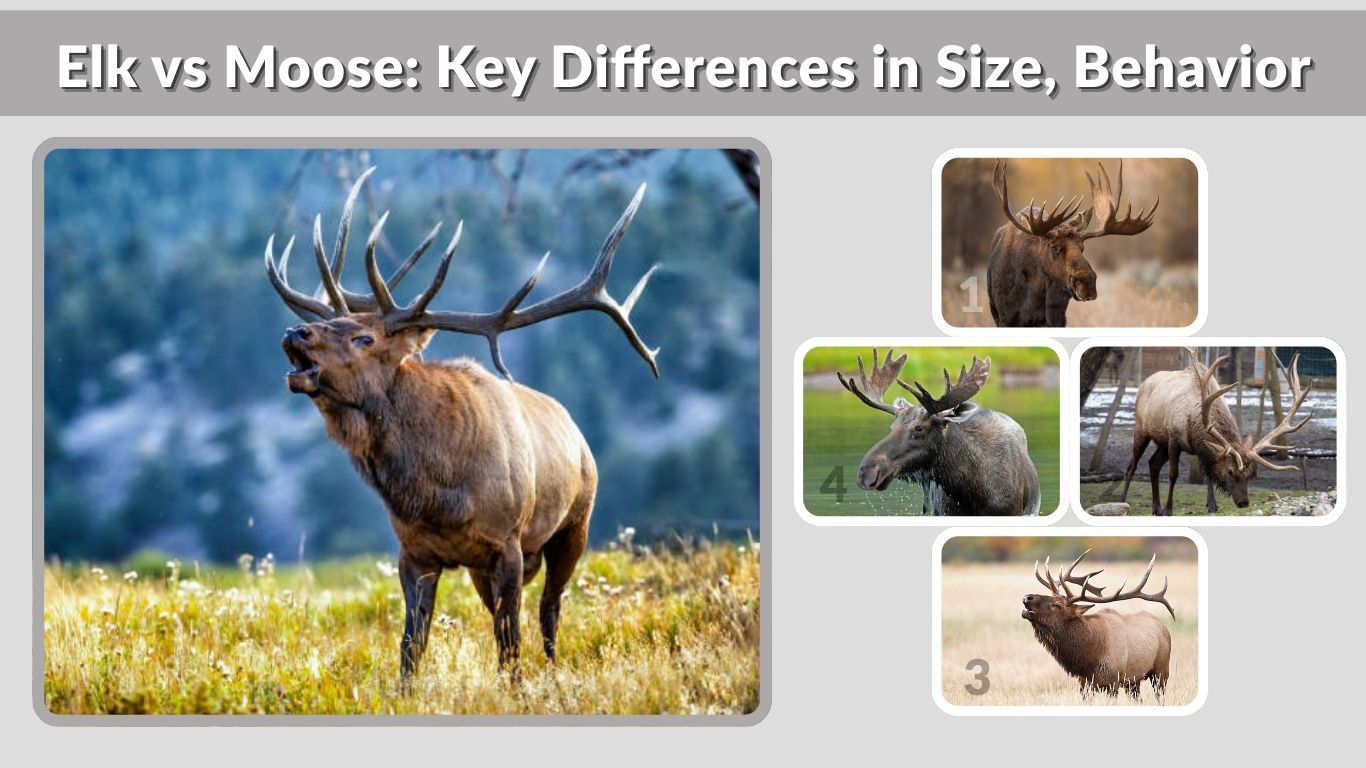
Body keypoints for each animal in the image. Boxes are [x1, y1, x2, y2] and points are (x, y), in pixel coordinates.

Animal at [263, 167, 659, 686]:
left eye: (364, 337)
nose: (295, 331)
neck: (437, 493)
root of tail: (577, 433)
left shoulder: (508, 544)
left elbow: (509, 642)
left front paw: (516, 689)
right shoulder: (414, 553)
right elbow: (411, 645)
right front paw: (406, 692)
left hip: (575, 524)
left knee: (549, 610)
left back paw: (554, 671)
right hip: (480, 568)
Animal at [986, 160, 1159, 327]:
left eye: (1082, 248)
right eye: (1054, 248)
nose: (1087, 283)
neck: (1032, 296)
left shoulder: (1057, 319)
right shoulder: (1006, 318)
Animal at [1022, 550, 1174, 699]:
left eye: (1057, 605)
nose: (1027, 597)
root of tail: (1164, 628)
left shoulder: (1113, 682)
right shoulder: (1084, 684)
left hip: (1161, 671)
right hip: (1133, 681)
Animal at [1120, 350, 1312, 515]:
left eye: (1250, 473)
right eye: (1230, 471)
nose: (1244, 502)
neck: (1195, 425)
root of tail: (1143, 383)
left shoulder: (1201, 448)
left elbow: (1209, 475)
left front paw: (1212, 506)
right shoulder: (1174, 438)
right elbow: (1174, 474)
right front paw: (1169, 510)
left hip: (1161, 442)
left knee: (1153, 464)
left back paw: (1156, 508)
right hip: (1141, 429)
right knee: (1131, 466)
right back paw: (1123, 501)